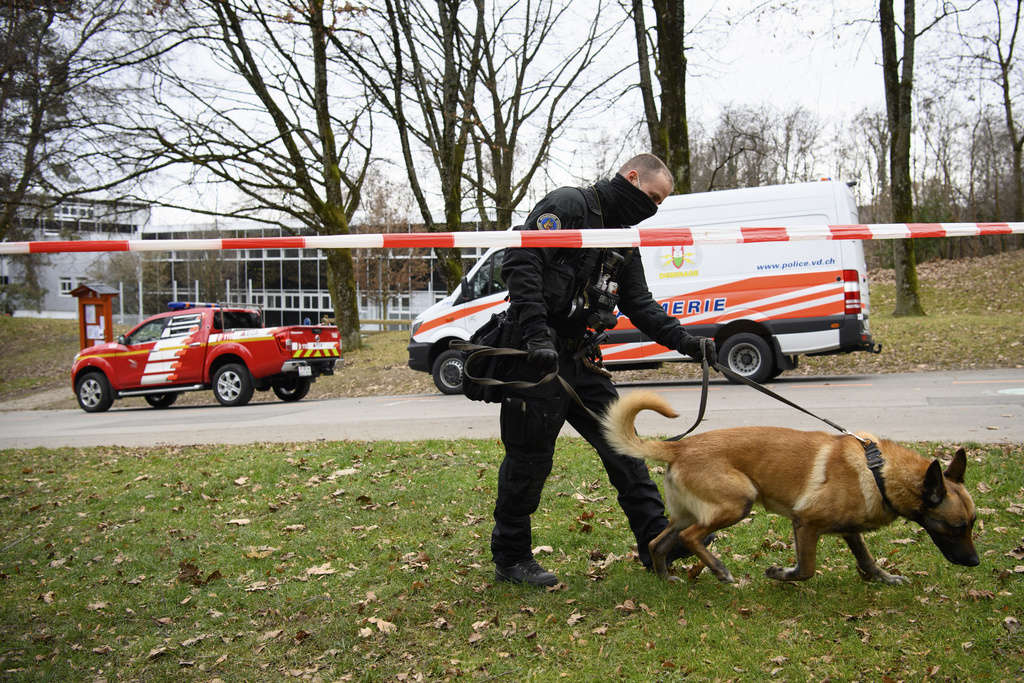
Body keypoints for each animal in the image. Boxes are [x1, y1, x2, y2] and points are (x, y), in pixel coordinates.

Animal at [602, 393, 978, 585]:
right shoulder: (806, 522)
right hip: (739, 502)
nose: (975, 562)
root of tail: (678, 447)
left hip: (686, 514)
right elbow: (807, 569)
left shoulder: (849, 530)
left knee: (658, 542)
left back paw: (667, 578)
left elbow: (867, 559)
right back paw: (720, 570)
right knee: (690, 537)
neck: (878, 473)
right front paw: (782, 574)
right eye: (956, 527)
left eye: (972, 525)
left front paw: (884, 577)